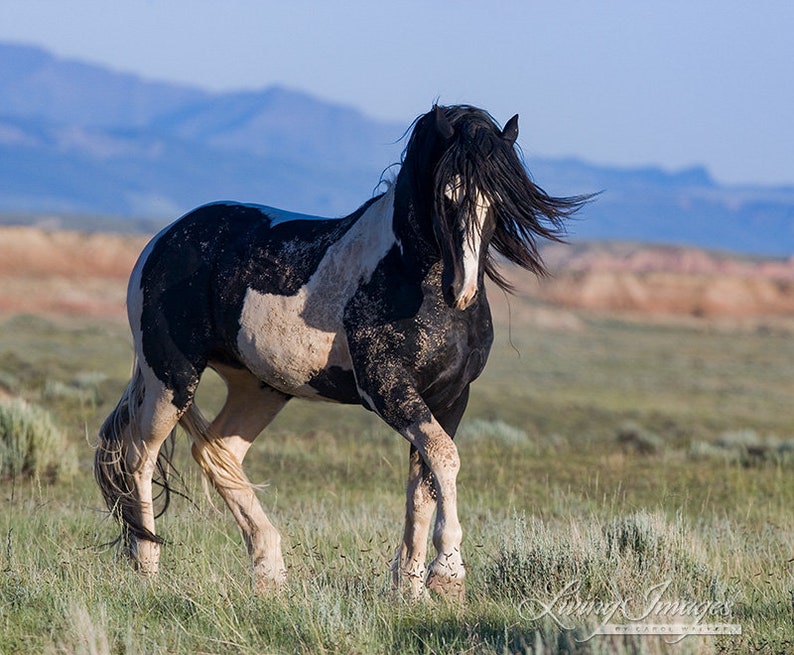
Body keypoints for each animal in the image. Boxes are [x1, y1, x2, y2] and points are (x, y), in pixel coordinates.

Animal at [94, 102, 588, 600]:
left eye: (498, 204)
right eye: (446, 196)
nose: (461, 292)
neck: (407, 276)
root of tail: (163, 240)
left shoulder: (450, 397)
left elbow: (425, 482)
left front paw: (412, 589)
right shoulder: (387, 389)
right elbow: (445, 459)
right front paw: (447, 576)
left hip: (259, 386)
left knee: (218, 452)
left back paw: (270, 573)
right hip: (171, 379)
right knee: (140, 456)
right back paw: (148, 568)